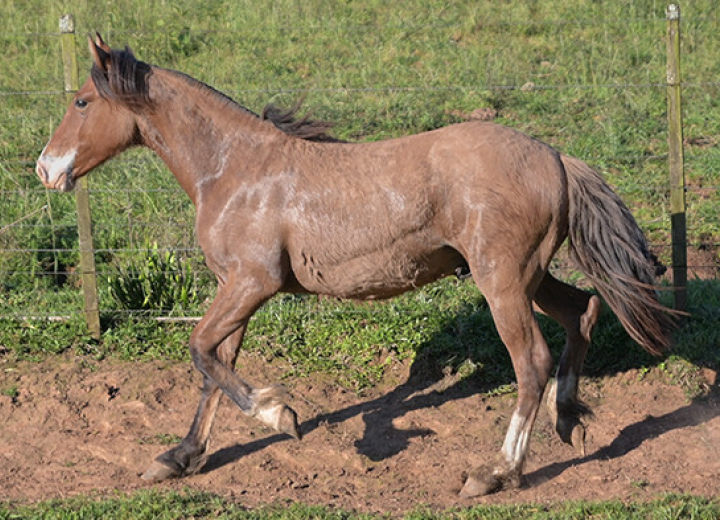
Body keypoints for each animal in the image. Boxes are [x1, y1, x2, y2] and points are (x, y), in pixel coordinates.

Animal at [35, 34, 676, 498]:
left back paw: (496, 472)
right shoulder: (234, 289)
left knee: (533, 363)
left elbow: (200, 352)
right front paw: (180, 457)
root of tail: (557, 157)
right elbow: (213, 368)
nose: (45, 168)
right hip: (530, 277)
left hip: (503, 282)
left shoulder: (252, 283)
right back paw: (569, 420)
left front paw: (281, 414)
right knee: (583, 310)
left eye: (82, 102)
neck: (235, 169)